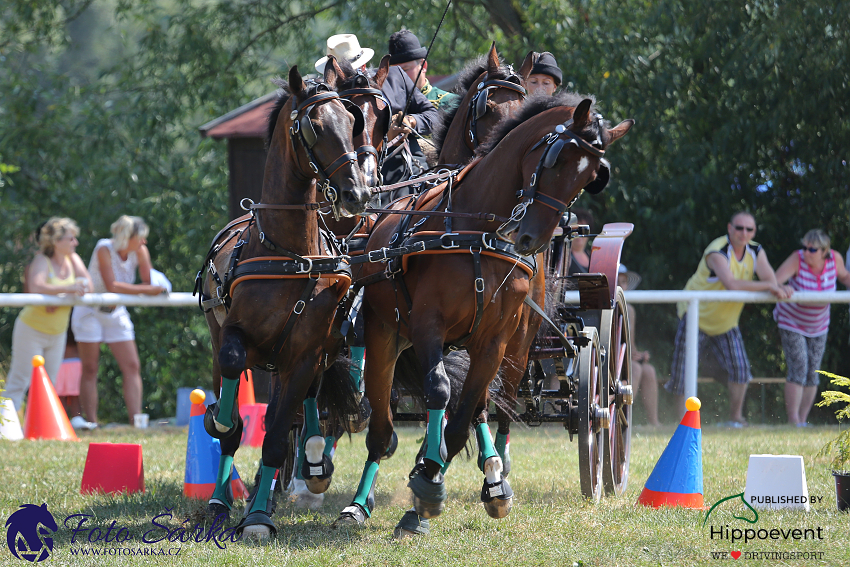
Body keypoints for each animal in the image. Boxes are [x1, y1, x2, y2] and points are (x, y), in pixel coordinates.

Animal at [197, 57, 372, 540]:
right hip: (219, 337)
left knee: (301, 408)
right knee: (230, 394)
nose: (357, 194)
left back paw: (311, 459)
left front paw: (258, 518)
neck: (291, 252)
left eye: (351, 119)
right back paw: (219, 498)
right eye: (314, 126)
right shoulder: (236, 335)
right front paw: (221, 420)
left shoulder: (305, 353)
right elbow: (234, 401)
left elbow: (276, 437)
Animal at [334, 93, 632, 536]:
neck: (477, 231)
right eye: (557, 159)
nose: (529, 238)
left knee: (498, 402)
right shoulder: (427, 326)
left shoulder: (495, 341)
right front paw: (423, 481)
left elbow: (461, 421)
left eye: (591, 176)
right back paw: (361, 501)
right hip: (389, 335)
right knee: (386, 424)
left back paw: (493, 475)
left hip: (519, 348)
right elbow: (439, 392)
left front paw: (428, 488)